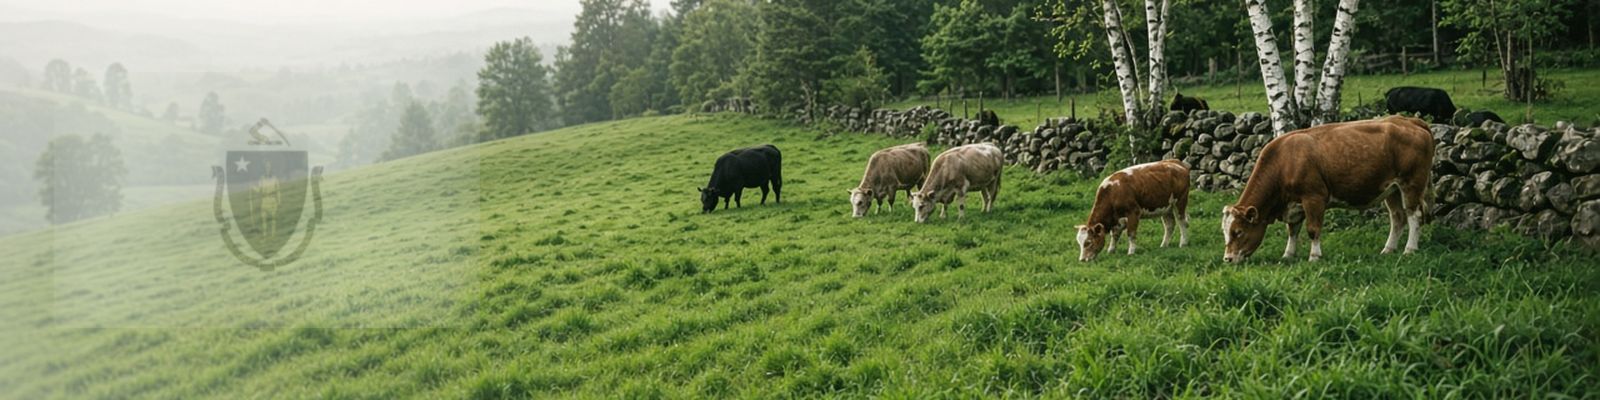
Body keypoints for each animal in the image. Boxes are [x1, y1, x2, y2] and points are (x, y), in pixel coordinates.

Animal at [1221, 116, 1435, 263]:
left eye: (1238, 232)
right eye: (1225, 232)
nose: (1227, 259)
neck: (1285, 160)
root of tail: (1410, 121)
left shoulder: (1314, 198)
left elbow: (1313, 229)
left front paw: (1314, 256)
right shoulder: (1295, 204)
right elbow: (1292, 230)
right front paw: (1288, 254)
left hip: (1411, 184)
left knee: (1414, 216)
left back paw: (1409, 249)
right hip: (1392, 189)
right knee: (1398, 218)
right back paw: (1388, 249)